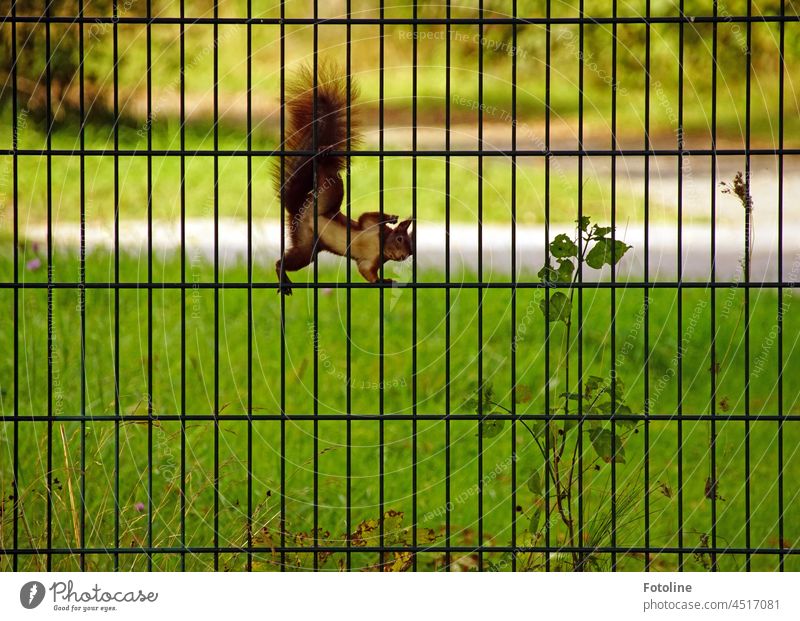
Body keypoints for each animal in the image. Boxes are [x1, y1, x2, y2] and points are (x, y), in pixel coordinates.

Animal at [274, 61, 412, 294]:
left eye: (411, 252)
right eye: (400, 238)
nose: (402, 256)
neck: (381, 245)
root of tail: (299, 211)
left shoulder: (369, 262)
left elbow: (368, 273)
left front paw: (384, 281)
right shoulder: (370, 227)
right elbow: (368, 216)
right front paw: (392, 217)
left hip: (307, 244)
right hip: (329, 196)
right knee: (328, 176)